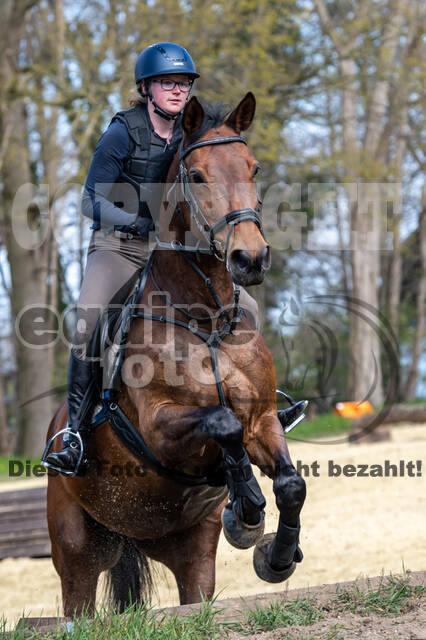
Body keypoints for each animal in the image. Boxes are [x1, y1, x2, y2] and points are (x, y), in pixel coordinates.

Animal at [44, 92, 306, 616]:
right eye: (199, 176)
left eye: (253, 167)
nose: (250, 259)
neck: (204, 318)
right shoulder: (158, 427)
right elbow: (221, 422)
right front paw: (246, 504)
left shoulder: (263, 418)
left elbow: (290, 484)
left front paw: (276, 556)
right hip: (76, 551)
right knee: (78, 603)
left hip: (189, 551)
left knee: (195, 587)